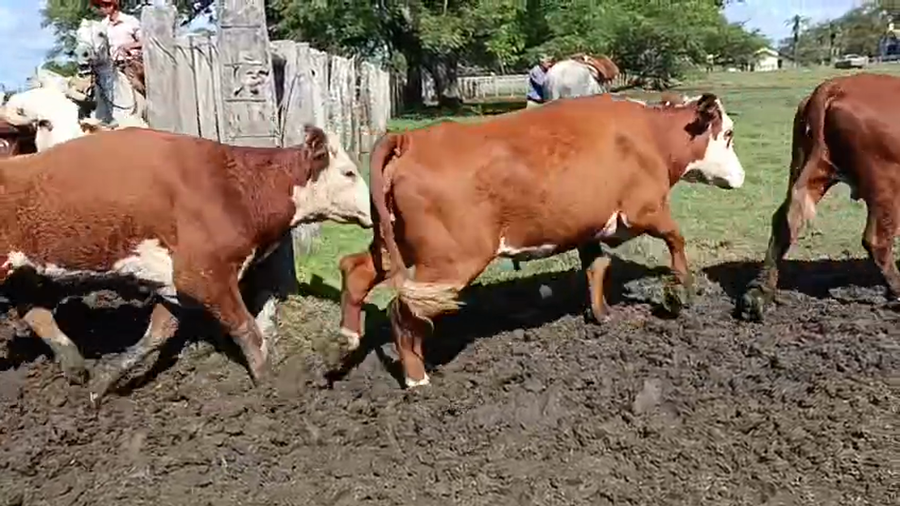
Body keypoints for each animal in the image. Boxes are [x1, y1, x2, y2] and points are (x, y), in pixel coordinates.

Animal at [0, 125, 372, 402]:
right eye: (349, 172)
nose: (372, 209)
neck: (233, 186)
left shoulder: (175, 284)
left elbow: (157, 334)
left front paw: (103, 383)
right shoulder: (205, 275)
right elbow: (249, 331)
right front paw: (272, 390)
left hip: (22, 272)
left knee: (35, 311)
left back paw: (75, 367)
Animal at [337, 92, 745, 388]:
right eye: (727, 134)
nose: (741, 176)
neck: (650, 135)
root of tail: (409, 138)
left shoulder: (587, 226)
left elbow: (597, 266)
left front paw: (601, 313)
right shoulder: (645, 210)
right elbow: (677, 238)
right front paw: (681, 289)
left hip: (398, 245)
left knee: (356, 269)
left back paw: (349, 337)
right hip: (450, 262)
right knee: (402, 311)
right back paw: (416, 377)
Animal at [740, 73, 900, 320]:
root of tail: (836, 84)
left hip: (808, 168)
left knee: (784, 221)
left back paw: (758, 294)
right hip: (886, 186)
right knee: (877, 239)